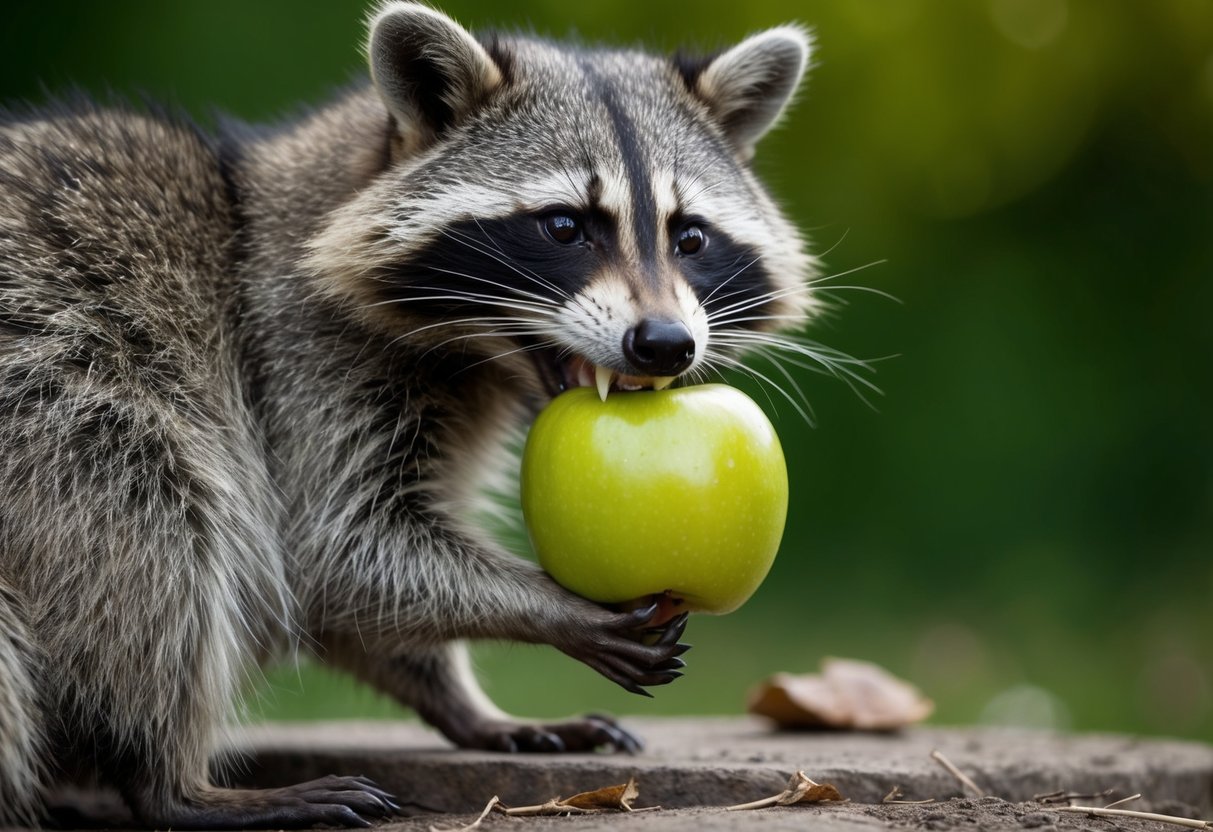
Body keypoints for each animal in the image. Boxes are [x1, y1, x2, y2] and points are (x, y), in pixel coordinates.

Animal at [0, 2, 817, 827]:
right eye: (564, 227)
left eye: (691, 236)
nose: (665, 344)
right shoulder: (294, 360)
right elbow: (332, 550)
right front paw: (549, 608)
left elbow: (352, 602)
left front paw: (465, 704)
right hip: (64, 409)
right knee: (150, 527)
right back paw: (172, 781)